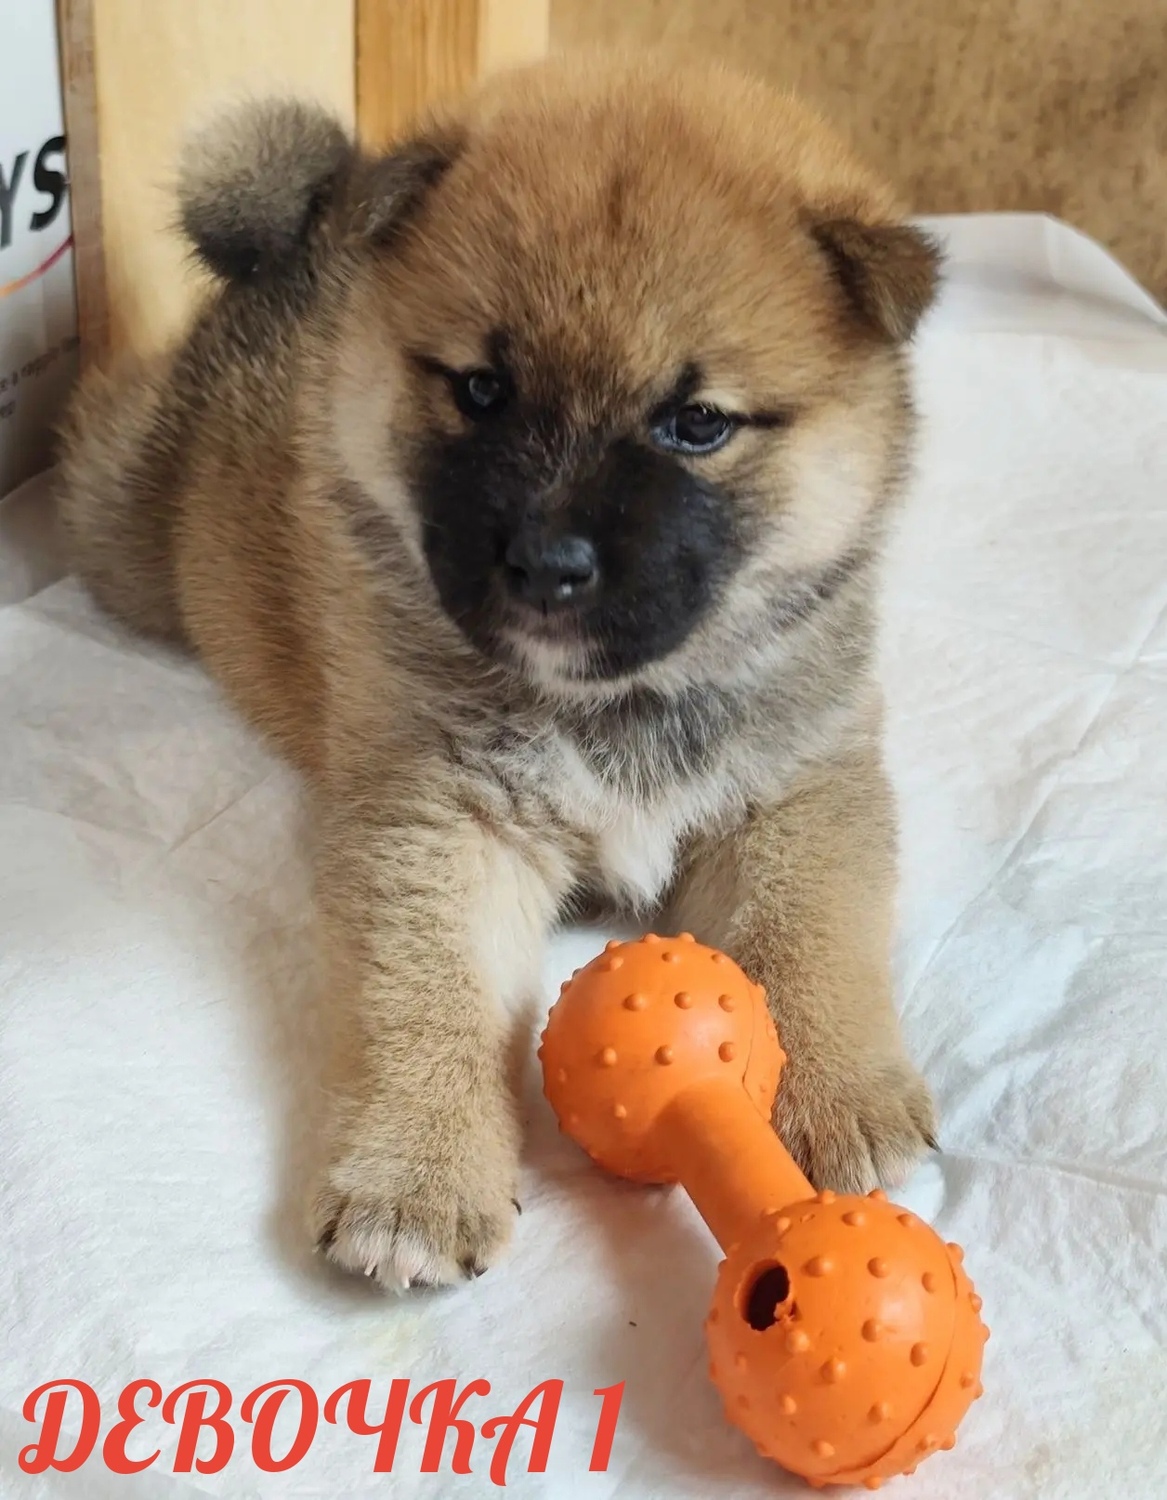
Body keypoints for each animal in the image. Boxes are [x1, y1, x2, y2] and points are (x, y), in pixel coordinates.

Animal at [57, 53, 940, 1290]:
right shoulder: (443, 820)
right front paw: (417, 1174)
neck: (611, 700)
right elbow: (426, 995)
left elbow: (815, 932)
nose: (545, 562)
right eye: (481, 390)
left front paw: (844, 1092)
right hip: (125, 537)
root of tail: (294, 246)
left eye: (696, 423)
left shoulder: (798, 789)